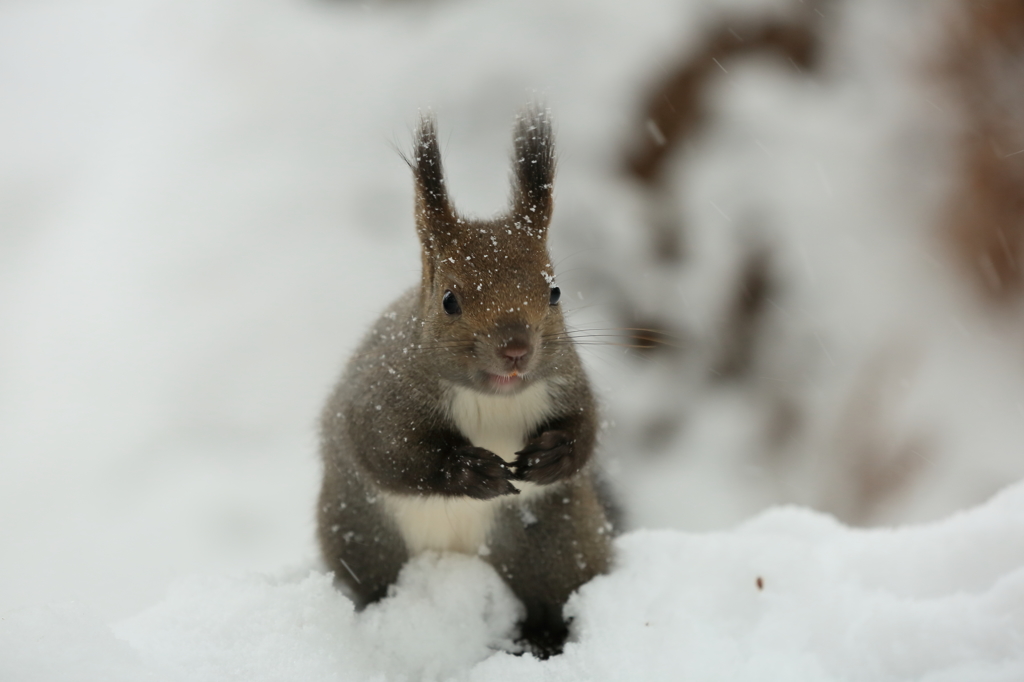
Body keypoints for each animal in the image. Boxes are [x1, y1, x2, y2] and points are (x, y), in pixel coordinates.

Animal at [315, 106, 610, 655]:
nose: (516, 348)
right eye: (450, 300)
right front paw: (470, 470)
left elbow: (588, 427)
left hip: (552, 543)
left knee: (552, 596)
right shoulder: (380, 393)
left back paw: (543, 637)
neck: (490, 400)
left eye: (554, 291)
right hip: (363, 537)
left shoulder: (567, 380)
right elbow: (388, 450)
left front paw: (554, 454)